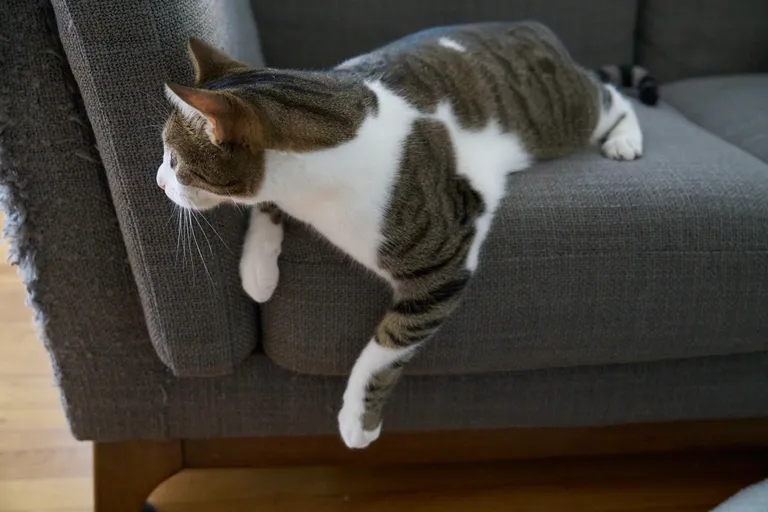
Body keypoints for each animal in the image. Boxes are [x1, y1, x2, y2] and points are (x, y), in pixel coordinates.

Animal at [158, 21, 660, 448]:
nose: (160, 182)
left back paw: (625, 140)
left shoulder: (445, 258)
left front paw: (357, 419)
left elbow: (386, 347)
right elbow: (264, 206)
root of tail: (537, 28)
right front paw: (257, 271)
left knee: (612, 96)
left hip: (566, 113)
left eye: (174, 160)